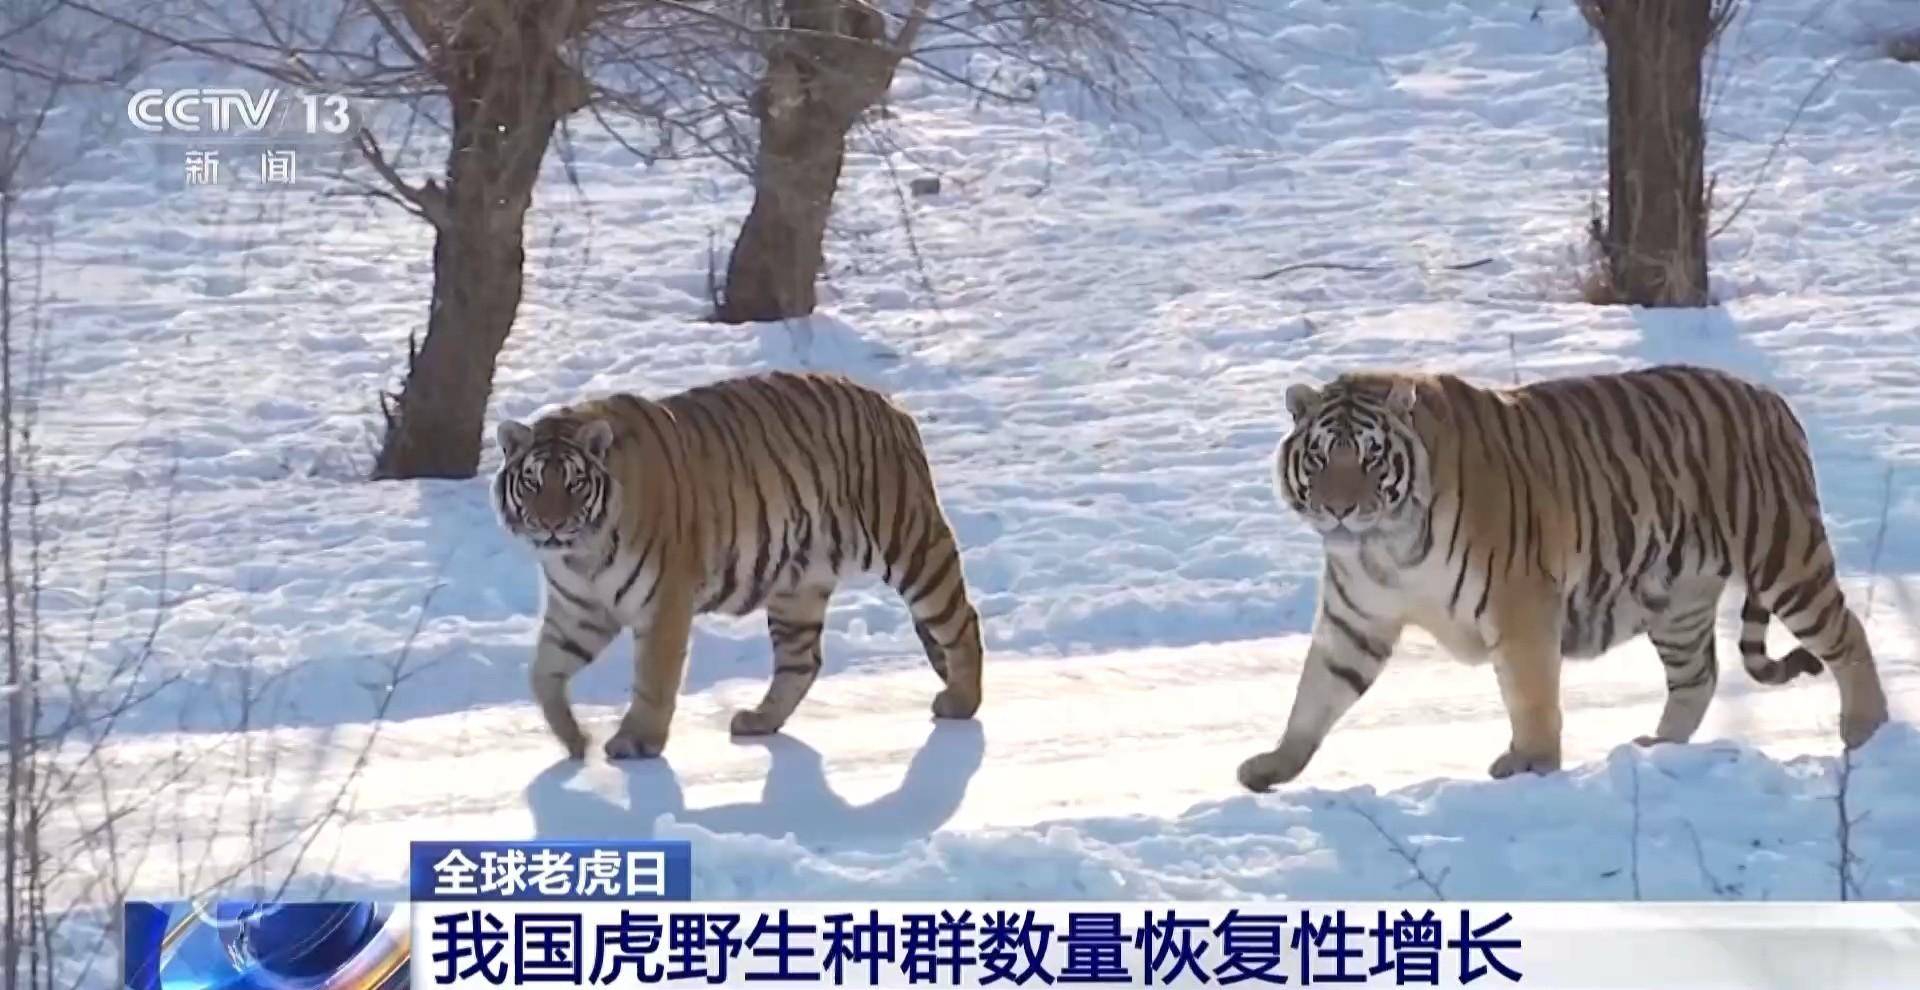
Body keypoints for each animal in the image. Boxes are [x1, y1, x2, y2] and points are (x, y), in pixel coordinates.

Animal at [491, 370, 985, 762]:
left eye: (574, 483)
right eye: (533, 481)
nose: (551, 524)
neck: (581, 555)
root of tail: (890, 404)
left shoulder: (664, 602)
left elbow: (653, 677)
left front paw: (636, 740)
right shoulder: (580, 611)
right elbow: (542, 673)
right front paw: (575, 741)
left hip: (910, 543)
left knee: (960, 619)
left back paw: (960, 701)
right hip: (798, 585)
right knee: (801, 661)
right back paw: (760, 720)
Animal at [1237, 363, 1891, 792]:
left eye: (1371, 457)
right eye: (1321, 457)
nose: (1339, 508)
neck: (1385, 546)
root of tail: (1768, 395)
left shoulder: (1519, 606)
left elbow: (1530, 696)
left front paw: (1530, 764)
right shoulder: (1356, 620)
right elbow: (1314, 695)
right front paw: (1274, 765)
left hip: (1784, 556)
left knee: (1847, 634)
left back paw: (1866, 730)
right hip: (1676, 595)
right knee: (1698, 678)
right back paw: (1655, 750)